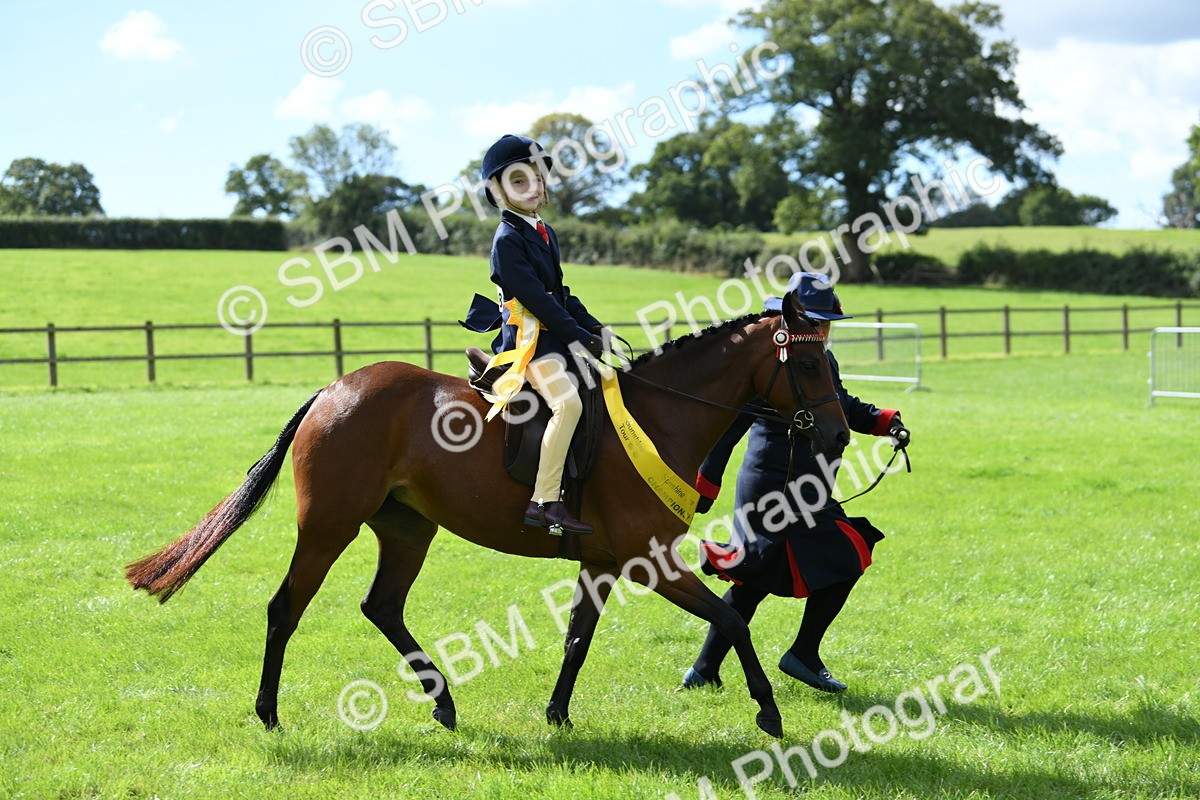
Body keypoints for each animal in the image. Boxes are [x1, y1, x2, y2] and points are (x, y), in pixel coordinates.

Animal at [124, 290, 850, 738]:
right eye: (811, 364)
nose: (840, 435)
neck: (661, 413)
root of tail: (334, 388)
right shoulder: (651, 562)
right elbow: (731, 617)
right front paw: (769, 713)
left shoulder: (601, 563)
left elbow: (578, 639)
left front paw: (557, 715)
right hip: (330, 527)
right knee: (286, 608)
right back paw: (270, 713)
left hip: (408, 529)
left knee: (382, 606)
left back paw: (443, 702)